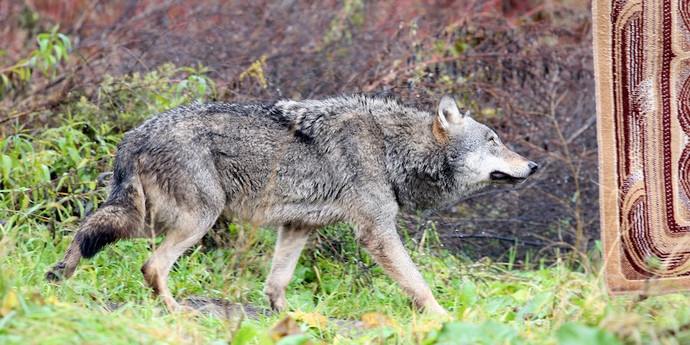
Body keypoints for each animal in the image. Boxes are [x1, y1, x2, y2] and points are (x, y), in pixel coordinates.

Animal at [44, 94, 536, 314]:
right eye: (494, 141)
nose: (532, 165)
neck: (390, 148)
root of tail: (134, 136)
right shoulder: (376, 232)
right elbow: (419, 285)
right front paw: (442, 318)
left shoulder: (298, 227)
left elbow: (277, 282)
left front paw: (289, 319)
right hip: (196, 220)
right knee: (150, 266)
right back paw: (173, 311)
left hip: (148, 219)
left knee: (88, 231)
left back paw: (56, 278)